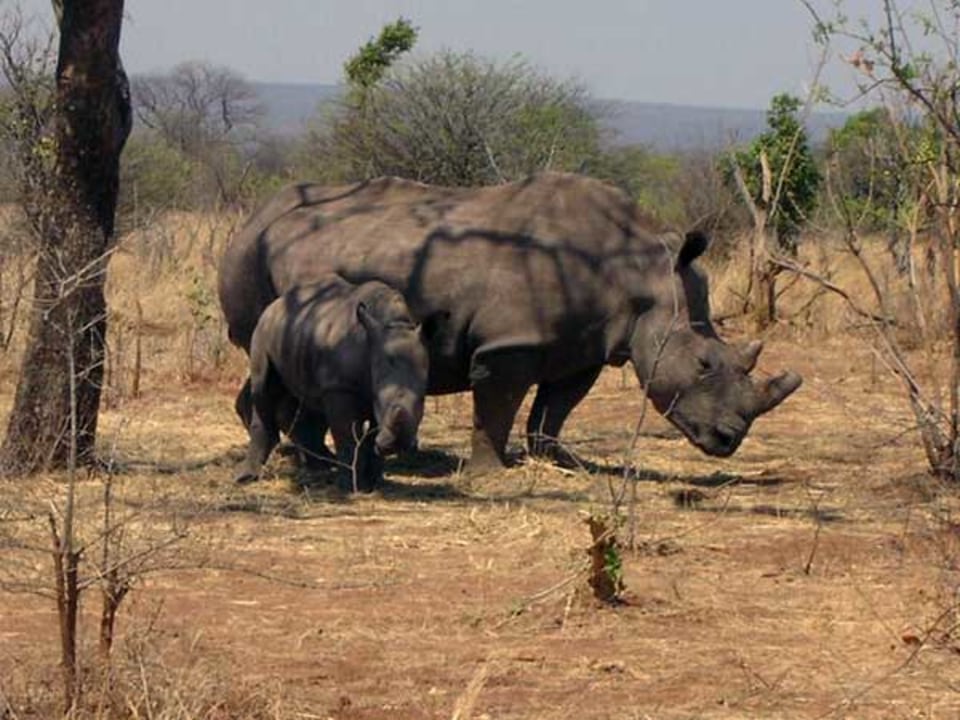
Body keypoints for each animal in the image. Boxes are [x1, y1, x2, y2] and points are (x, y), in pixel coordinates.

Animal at [235, 276, 432, 491]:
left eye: (422, 401)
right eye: (379, 397)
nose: (397, 445)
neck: (393, 323)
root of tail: (277, 303)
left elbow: (370, 433)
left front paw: (373, 484)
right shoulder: (339, 388)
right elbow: (346, 435)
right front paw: (350, 487)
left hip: (298, 333)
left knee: (304, 400)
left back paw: (320, 467)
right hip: (262, 331)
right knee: (263, 390)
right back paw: (246, 477)